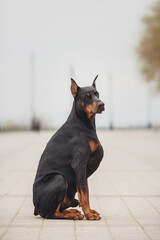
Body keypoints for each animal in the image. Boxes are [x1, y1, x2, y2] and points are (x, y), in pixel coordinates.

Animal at [32, 76, 105, 220]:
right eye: (87, 96)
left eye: (97, 93)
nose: (101, 104)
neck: (83, 124)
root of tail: (36, 208)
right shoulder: (79, 164)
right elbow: (84, 194)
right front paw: (89, 214)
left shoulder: (84, 168)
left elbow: (85, 193)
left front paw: (90, 211)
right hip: (59, 179)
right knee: (50, 214)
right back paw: (72, 214)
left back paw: (72, 211)